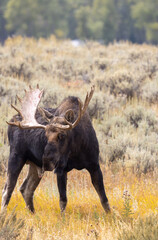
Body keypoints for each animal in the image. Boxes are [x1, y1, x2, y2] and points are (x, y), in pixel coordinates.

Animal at [1, 85, 110, 213]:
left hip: (34, 165)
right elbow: (63, 201)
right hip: (16, 156)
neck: (76, 150)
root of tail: (12, 121)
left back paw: (33, 214)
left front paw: (110, 215)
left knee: (25, 188)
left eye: (61, 135)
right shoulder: (61, 169)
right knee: (7, 190)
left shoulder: (94, 166)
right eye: (46, 135)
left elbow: (104, 199)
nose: (47, 162)